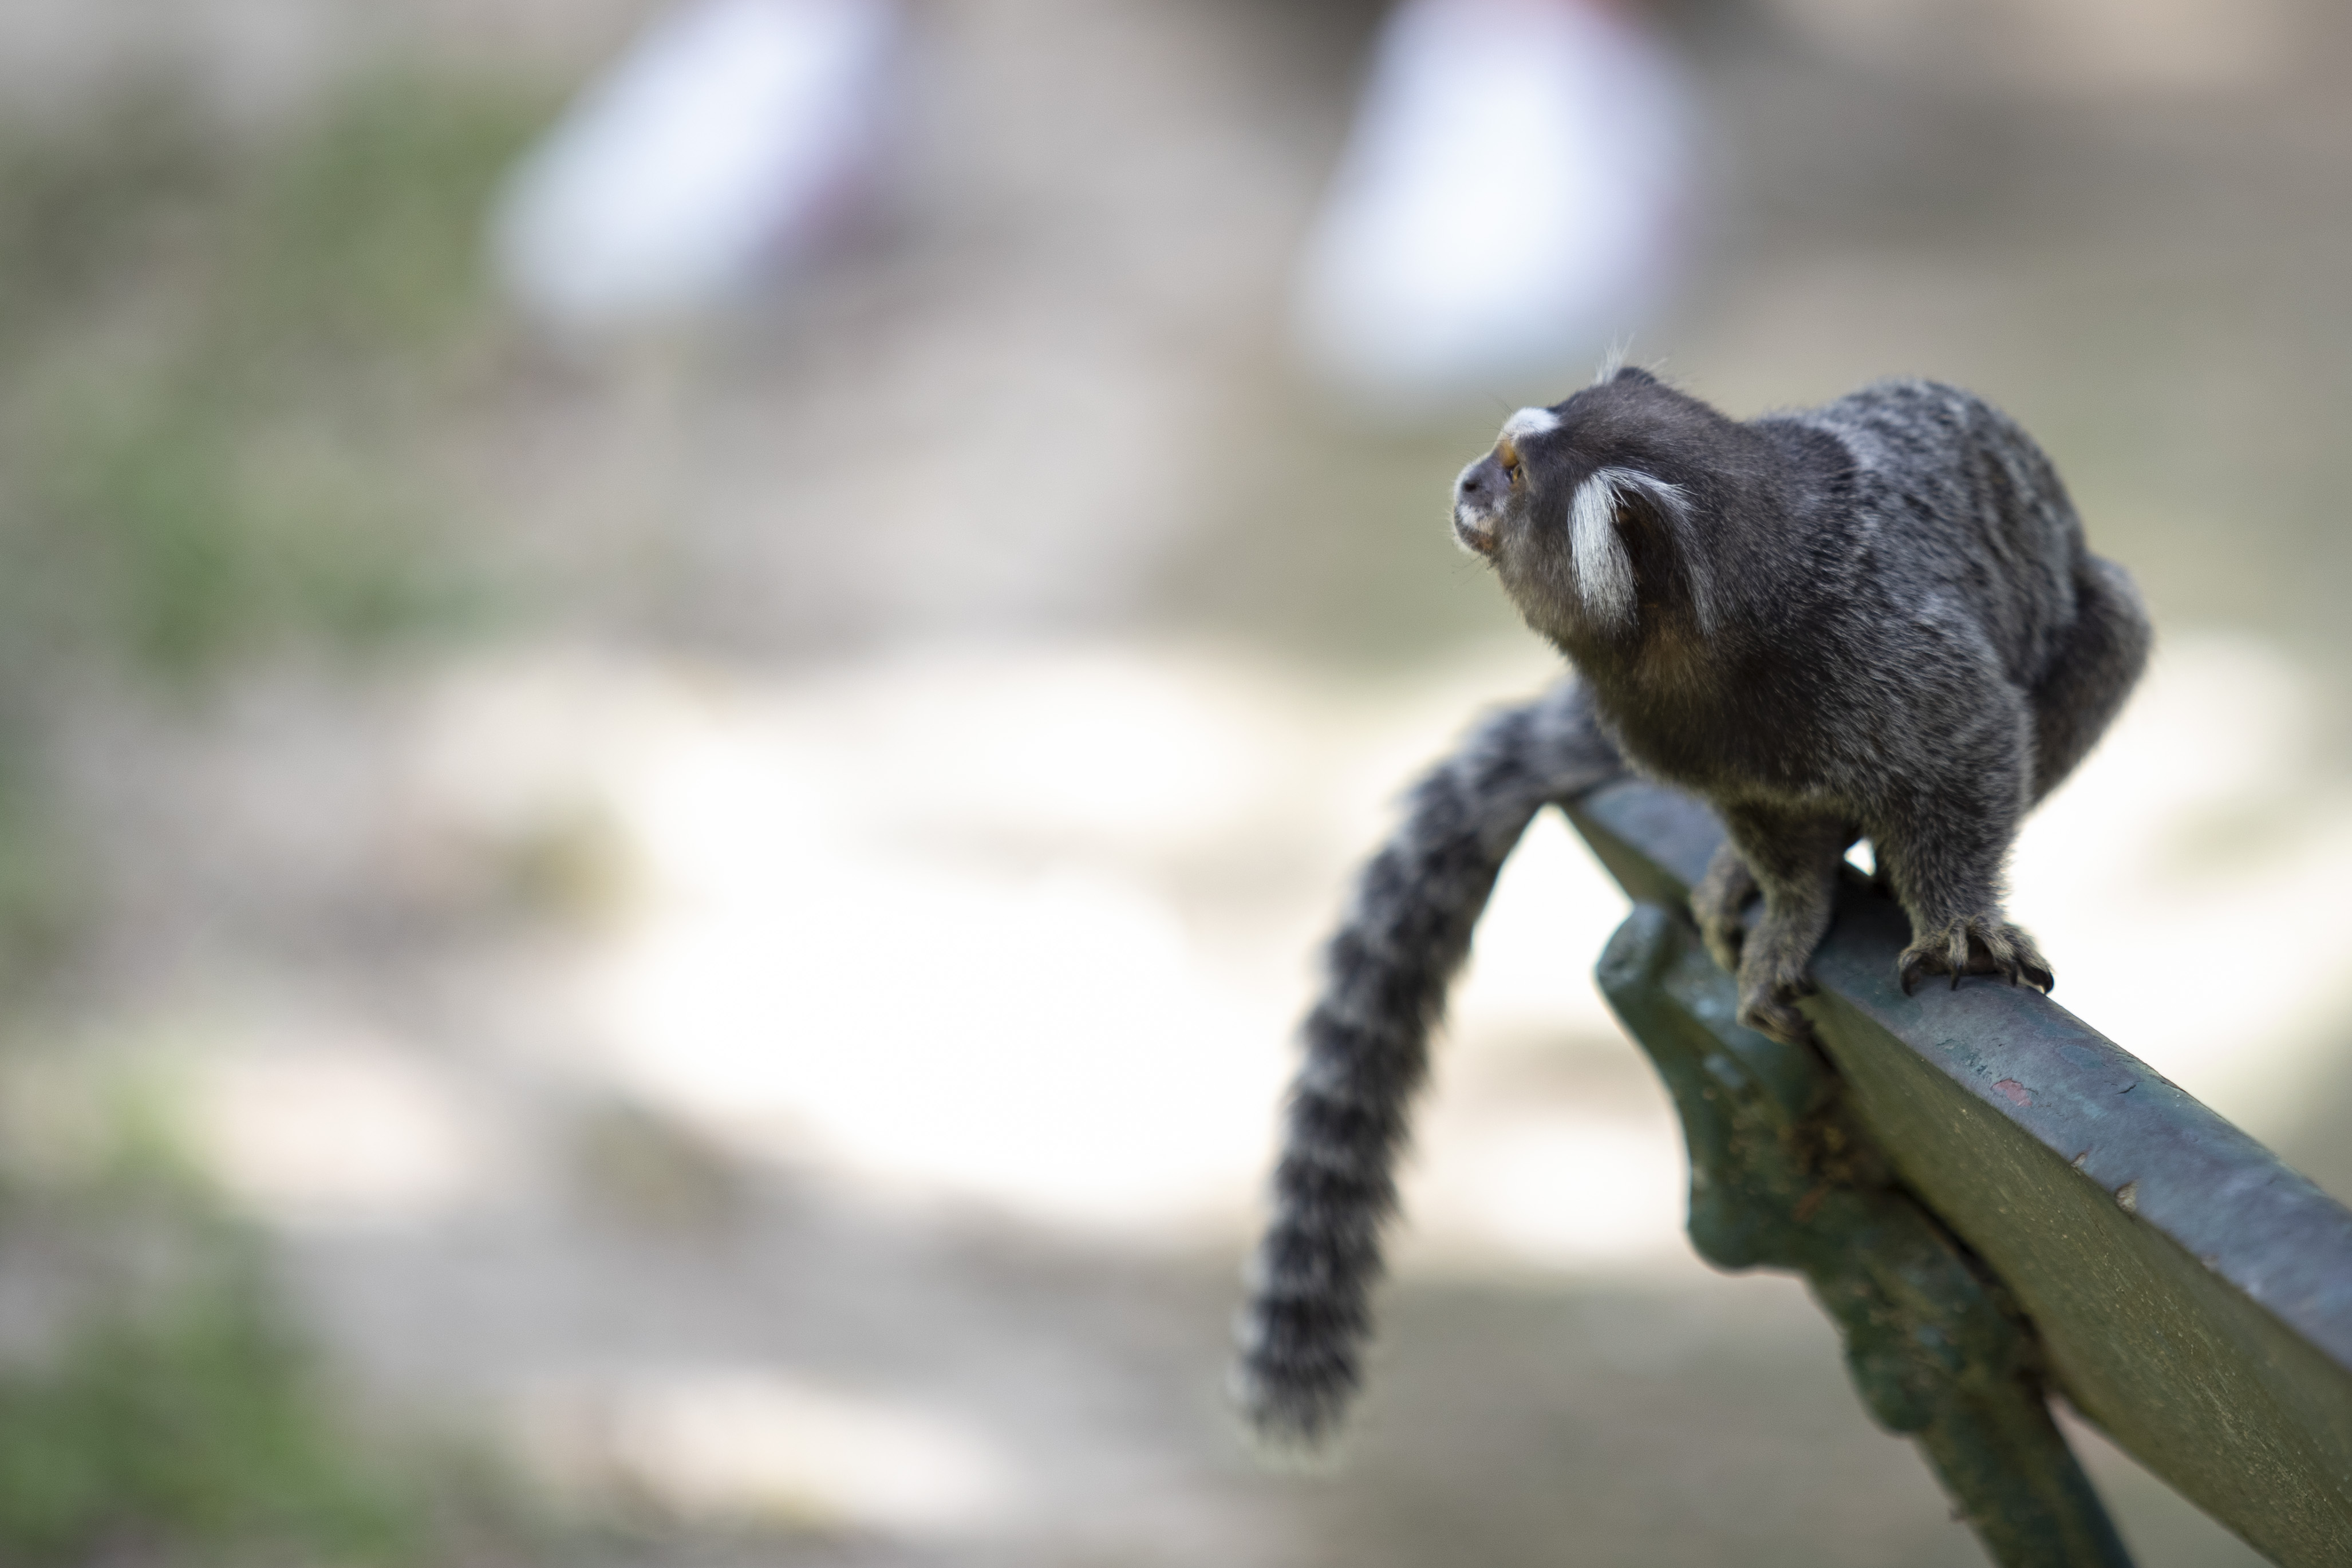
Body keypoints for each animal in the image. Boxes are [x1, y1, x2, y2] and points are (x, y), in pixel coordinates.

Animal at [1232, 364, 2154, 1448]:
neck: (1719, 648)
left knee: (2112, 623)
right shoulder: (1694, 744)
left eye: (1510, 473)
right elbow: (1770, 830)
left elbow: (1969, 751)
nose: (1464, 483)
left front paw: (1949, 912)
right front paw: (1787, 907)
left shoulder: (1900, 664)